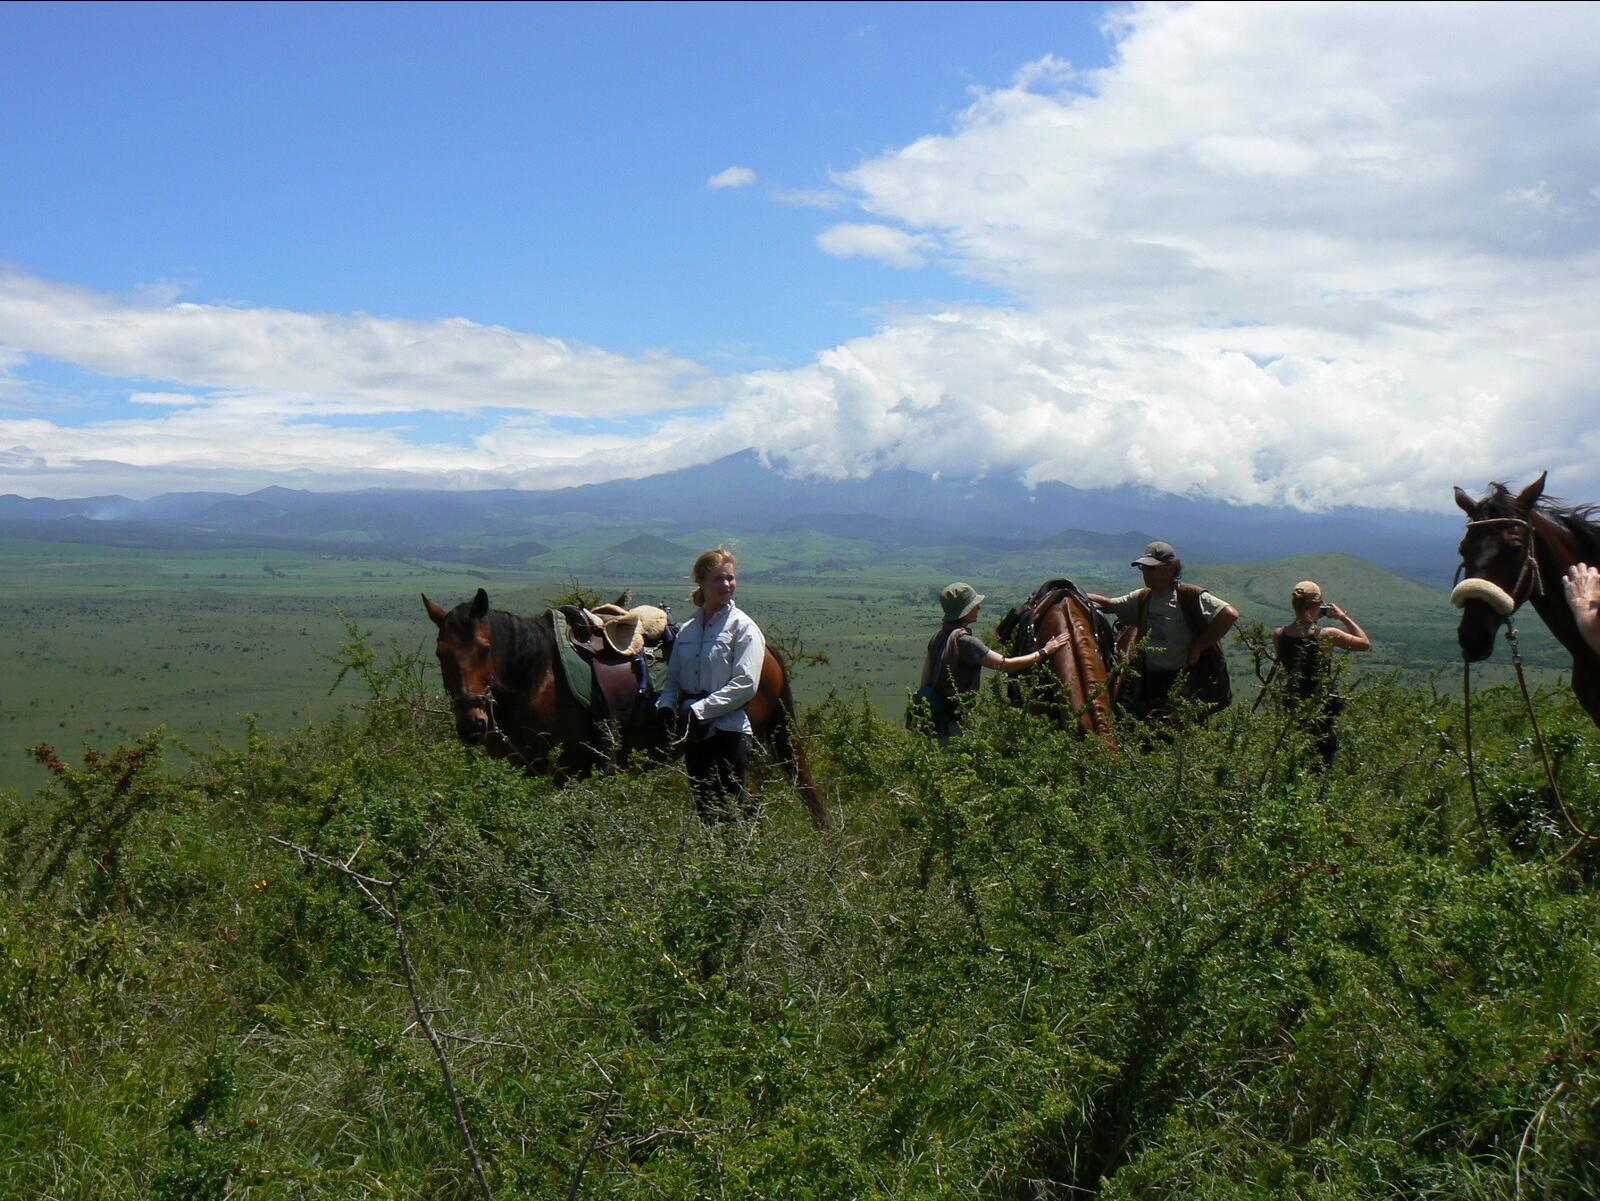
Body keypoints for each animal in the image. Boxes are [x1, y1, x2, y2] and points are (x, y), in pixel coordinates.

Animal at [419, 588, 832, 831]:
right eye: (441, 654)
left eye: (485, 649)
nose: (471, 724)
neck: (536, 678)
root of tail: (764, 646)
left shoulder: (568, 772)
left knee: (747, 803)